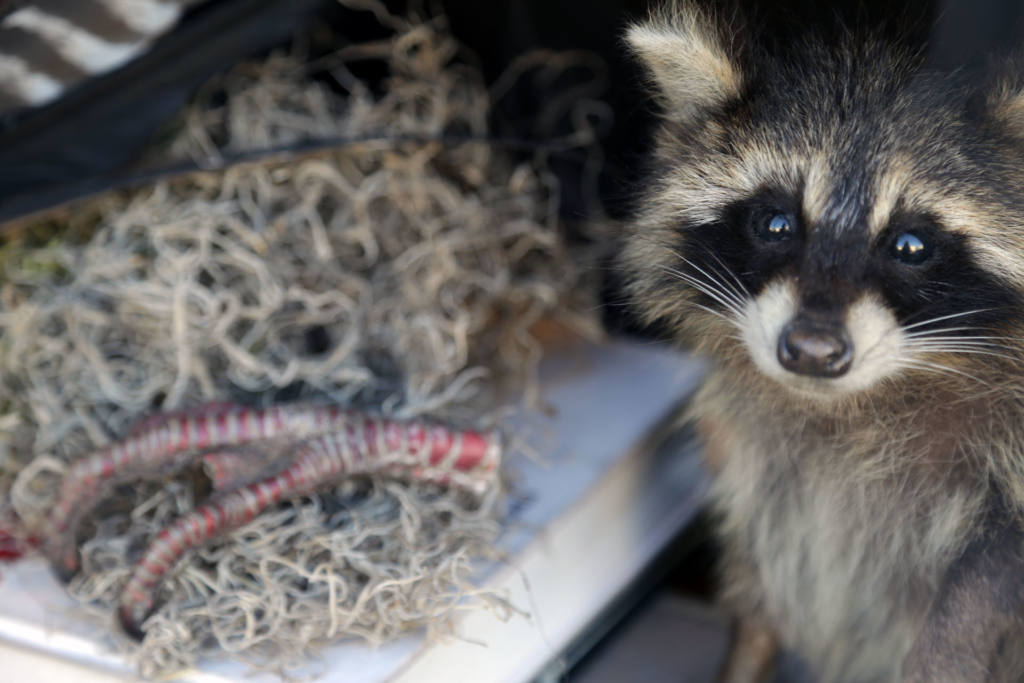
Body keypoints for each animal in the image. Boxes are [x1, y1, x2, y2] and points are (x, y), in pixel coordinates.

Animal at [622, 4, 1024, 682]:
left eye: (910, 244)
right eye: (775, 223)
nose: (810, 350)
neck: (850, 406)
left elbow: (976, 598)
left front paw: (939, 661)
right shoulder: (750, 452)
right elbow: (762, 565)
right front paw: (749, 649)